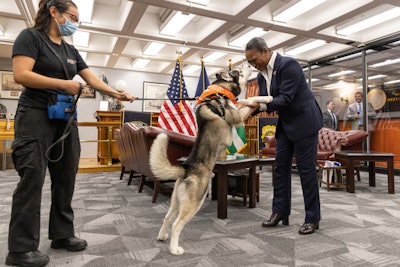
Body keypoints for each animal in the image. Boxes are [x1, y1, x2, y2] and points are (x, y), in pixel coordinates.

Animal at [149, 70, 242, 256]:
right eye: (234, 72)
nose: (242, 69)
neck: (219, 91)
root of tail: (186, 168)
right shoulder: (235, 118)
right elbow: (247, 104)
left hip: (177, 201)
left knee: (167, 217)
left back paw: (162, 236)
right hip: (194, 202)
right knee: (176, 225)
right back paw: (174, 249)